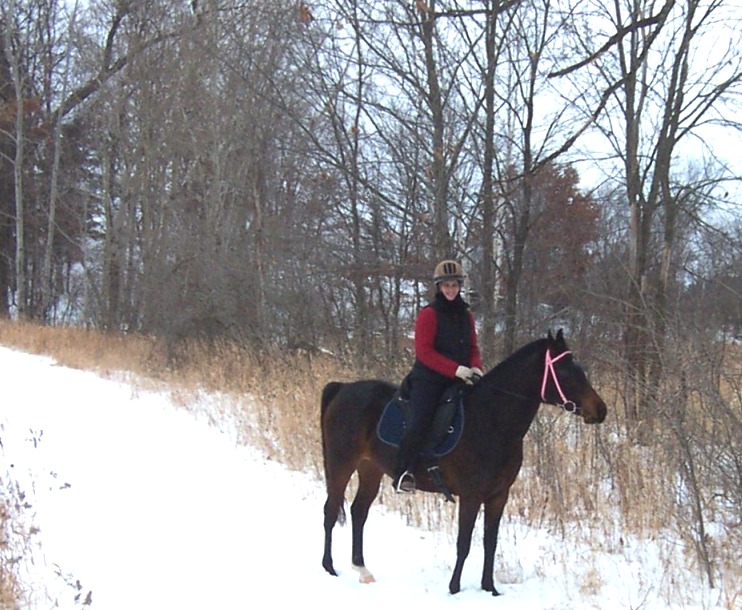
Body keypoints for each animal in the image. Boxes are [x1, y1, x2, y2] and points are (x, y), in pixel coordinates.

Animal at [322, 330, 608, 592]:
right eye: (566, 372)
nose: (601, 410)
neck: (491, 420)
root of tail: (343, 388)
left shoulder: (498, 495)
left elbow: (490, 542)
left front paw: (489, 588)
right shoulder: (471, 496)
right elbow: (464, 543)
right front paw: (454, 588)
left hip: (370, 468)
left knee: (358, 512)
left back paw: (362, 569)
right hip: (341, 464)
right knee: (330, 510)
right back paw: (329, 568)